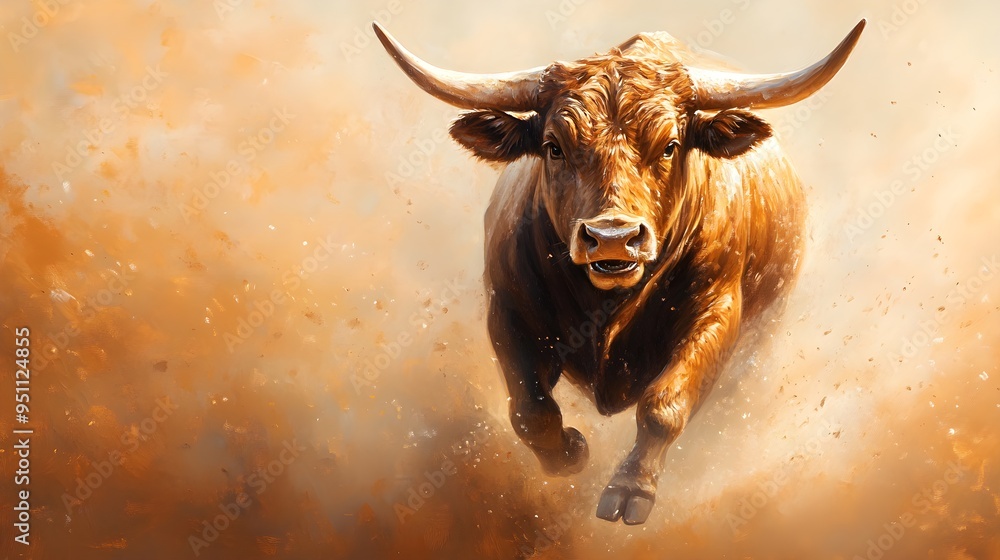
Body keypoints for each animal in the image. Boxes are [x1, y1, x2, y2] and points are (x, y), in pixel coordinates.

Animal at [374, 19, 865, 525]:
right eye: (553, 147)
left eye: (670, 146)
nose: (612, 237)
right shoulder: (508, 313)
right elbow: (530, 411)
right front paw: (570, 454)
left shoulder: (716, 313)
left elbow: (663, 405)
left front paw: (630, 490)